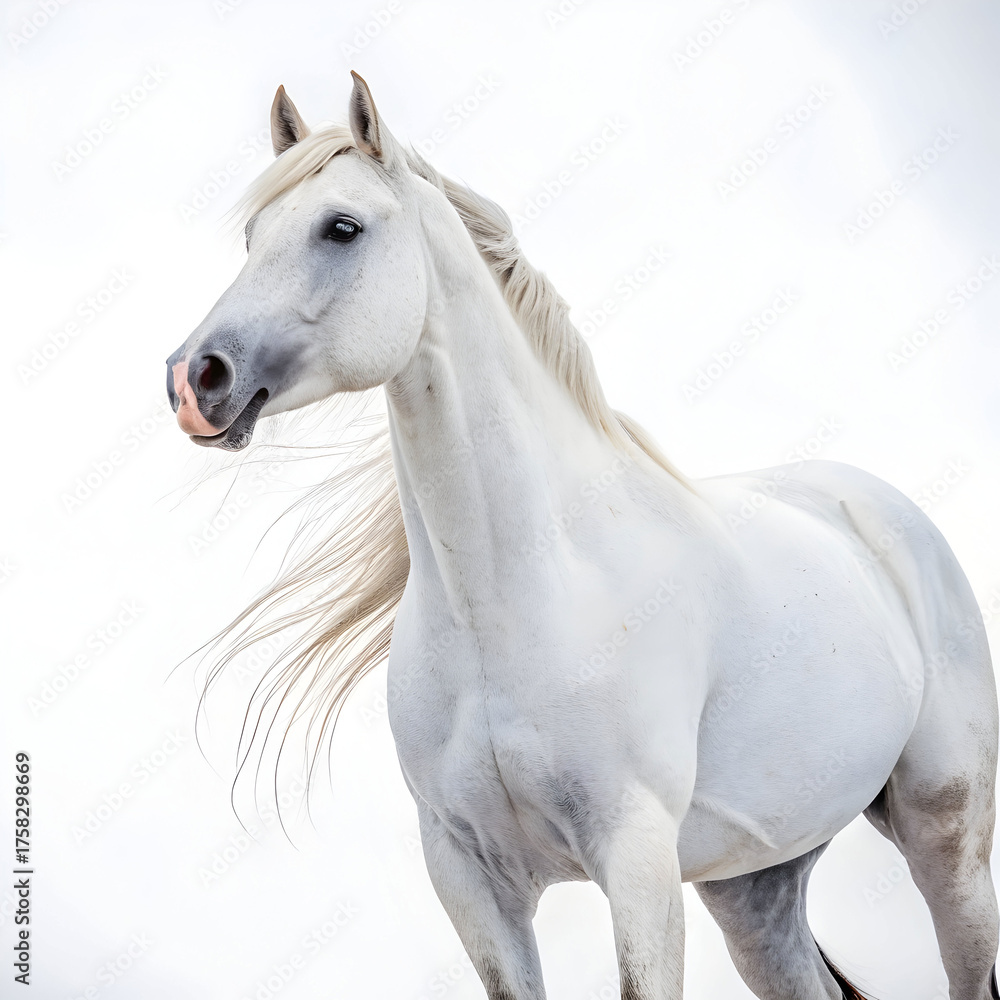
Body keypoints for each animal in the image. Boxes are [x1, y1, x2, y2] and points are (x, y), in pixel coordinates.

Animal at [166, 73, 1000, 999]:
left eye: (340, 226)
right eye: (252, 236)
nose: (195, 380)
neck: (520, 597)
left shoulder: (634, 861)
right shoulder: (468, 877)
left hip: (947, 840)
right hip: (754, 886)